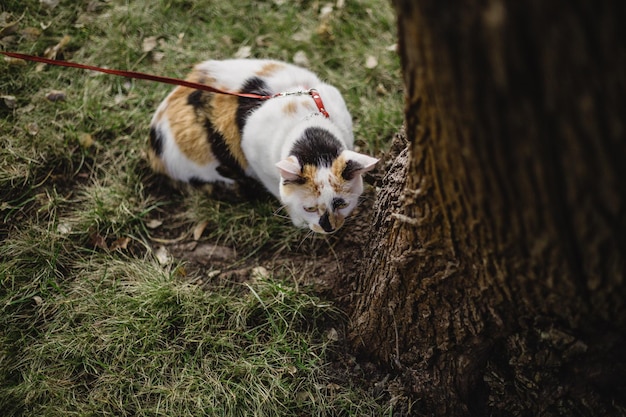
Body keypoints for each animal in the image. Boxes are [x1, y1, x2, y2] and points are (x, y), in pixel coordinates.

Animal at [149, 59, 378, 234]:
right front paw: (298, 221)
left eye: (342, 203)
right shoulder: (253, 151)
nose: (329, 227)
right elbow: (278, 190)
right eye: (310, 208)